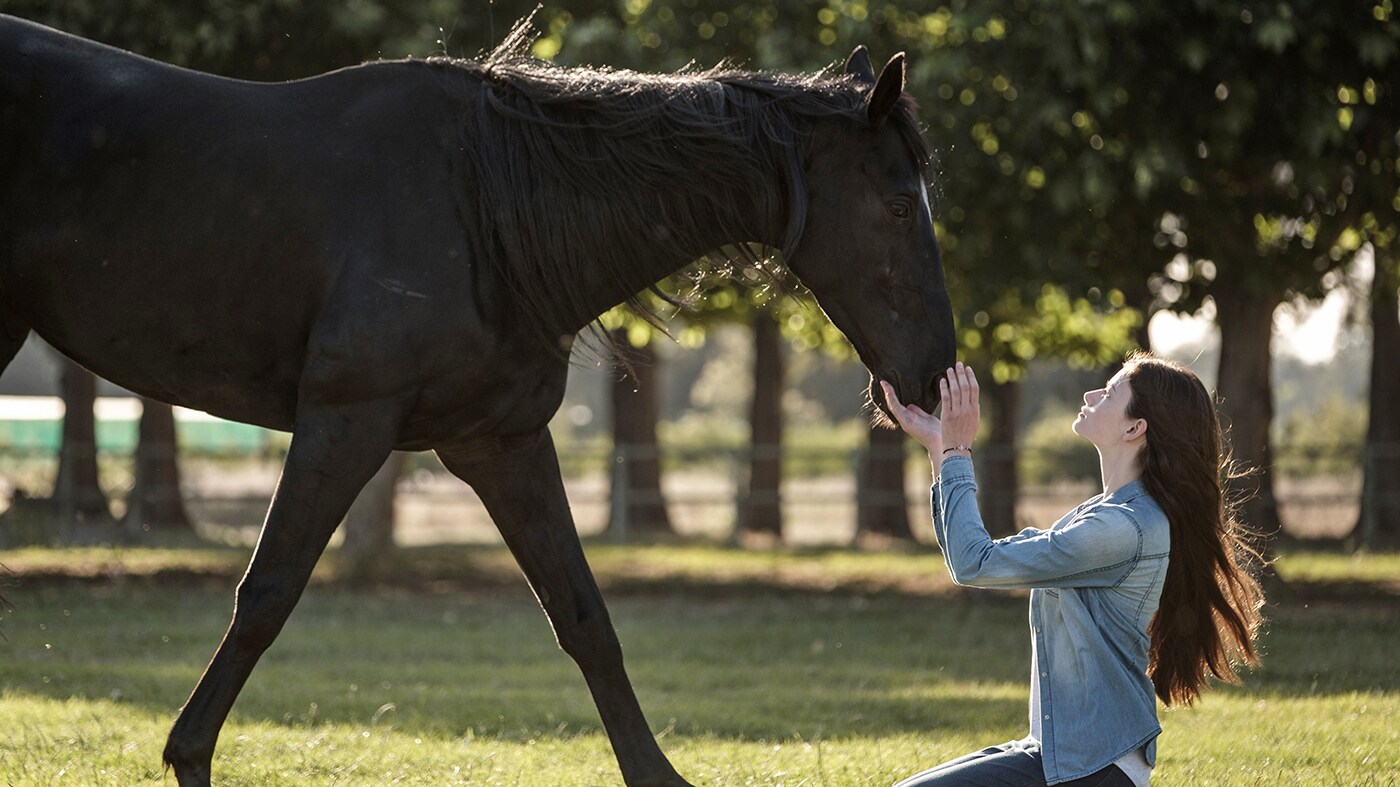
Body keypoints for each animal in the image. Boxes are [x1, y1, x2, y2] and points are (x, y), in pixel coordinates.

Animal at [0, 13, 952, 784]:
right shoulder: (345, 422)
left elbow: (584, 616)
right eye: (900, 207)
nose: (936, 373)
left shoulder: (501, 442)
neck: (484, 208)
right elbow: (266, 593)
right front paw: (187, 756)